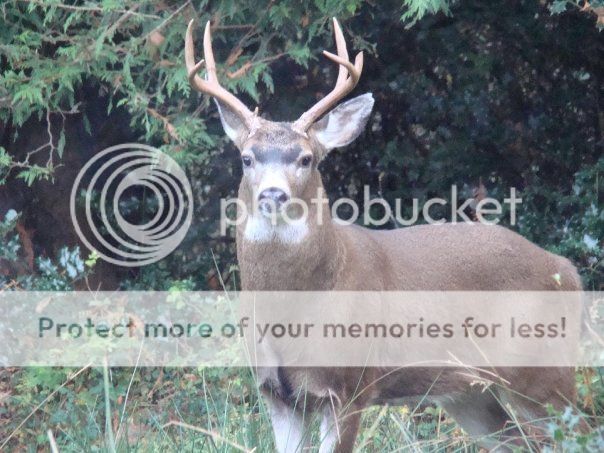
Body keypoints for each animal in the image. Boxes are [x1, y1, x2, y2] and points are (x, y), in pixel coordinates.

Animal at [184, 18, 582, 452]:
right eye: (247, 158)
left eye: (306, 159)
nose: (274, 194)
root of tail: (567, 270)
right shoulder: (276, 392)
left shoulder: (350, 386)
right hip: (469, 393)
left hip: (544, 372)